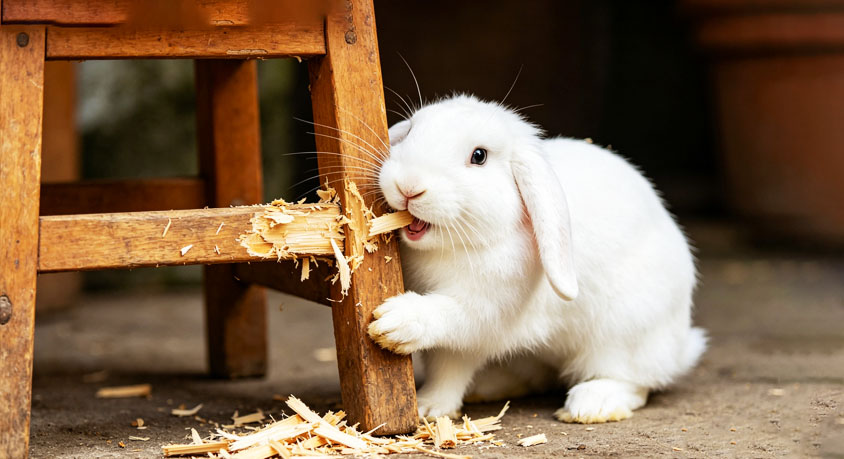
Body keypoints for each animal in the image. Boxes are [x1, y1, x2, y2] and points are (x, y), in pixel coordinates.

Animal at [367, 94, 706, 423]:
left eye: (479, 156)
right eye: (411, 131)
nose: (409, 186)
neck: (448, 249)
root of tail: (680, 347)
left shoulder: (480, 316)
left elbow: (448, 359)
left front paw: (393, 325)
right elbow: (444, 370)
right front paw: (428, 408)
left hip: (624, 335)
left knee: (635, 381)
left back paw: (592, 405)